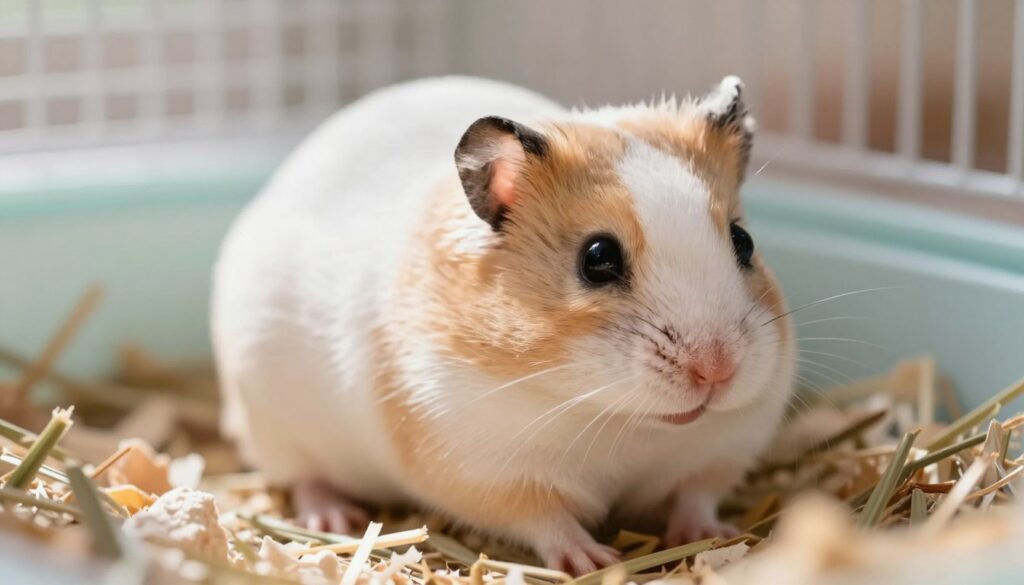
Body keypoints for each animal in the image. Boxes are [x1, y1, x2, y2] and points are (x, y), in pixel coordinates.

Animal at [211, 76, 795, 574]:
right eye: (598, 258)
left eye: (743, 241)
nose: (717, 371)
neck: (619, 419)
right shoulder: (488, 470)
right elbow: (546, 520)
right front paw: (594, 562)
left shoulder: (720, 452)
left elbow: (696, 497)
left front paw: (717, 537)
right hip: (274, 428)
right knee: (304, 479)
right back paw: (335, 517)